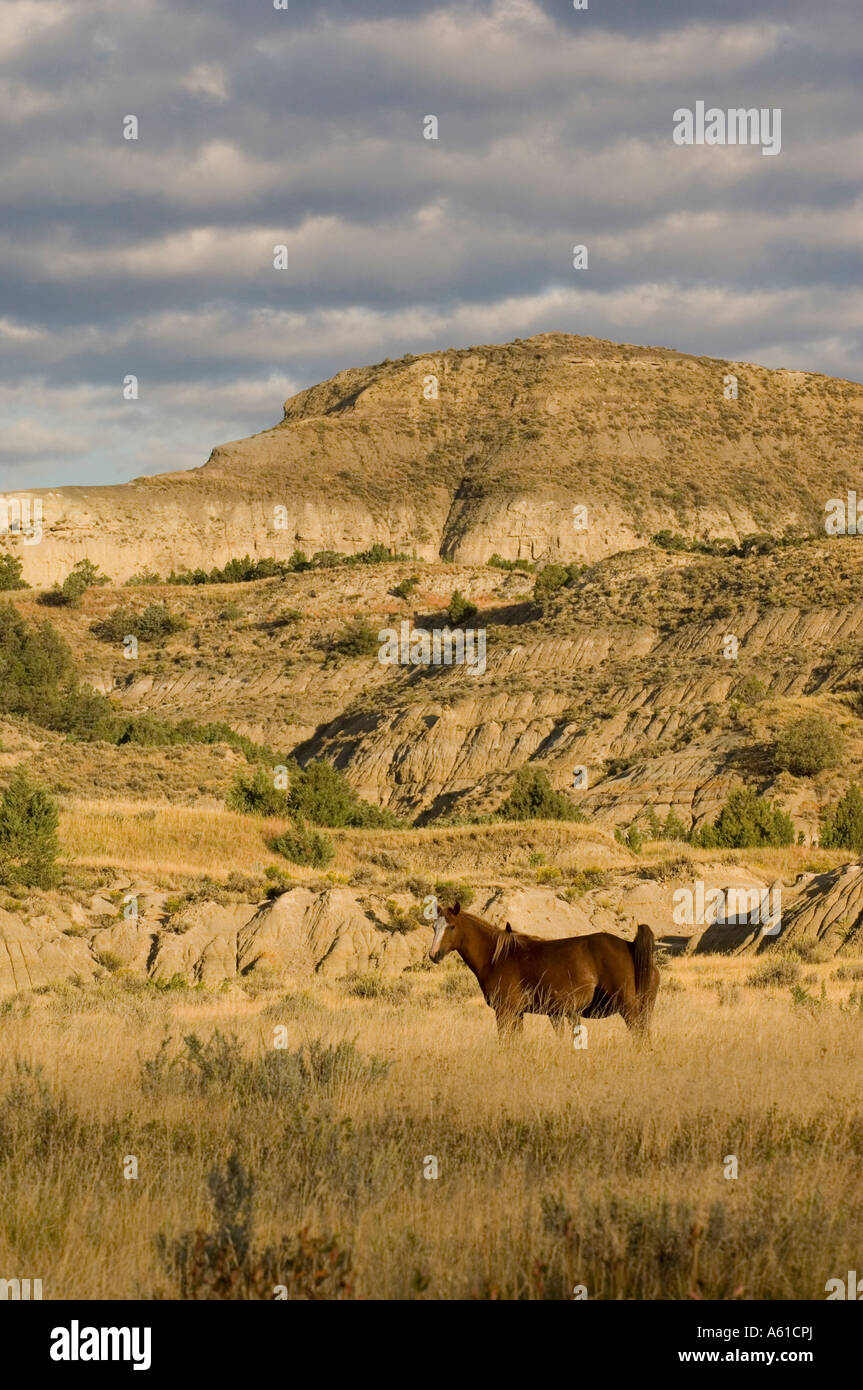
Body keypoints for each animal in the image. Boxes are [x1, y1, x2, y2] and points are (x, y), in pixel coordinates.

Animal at [428, 903, 659, 1038]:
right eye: (434, 927)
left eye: (451, 926)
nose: (433, 954)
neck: (496, 957)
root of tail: (630, 945)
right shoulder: (518, 1013)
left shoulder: (504, 1012)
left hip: (629, 1009)